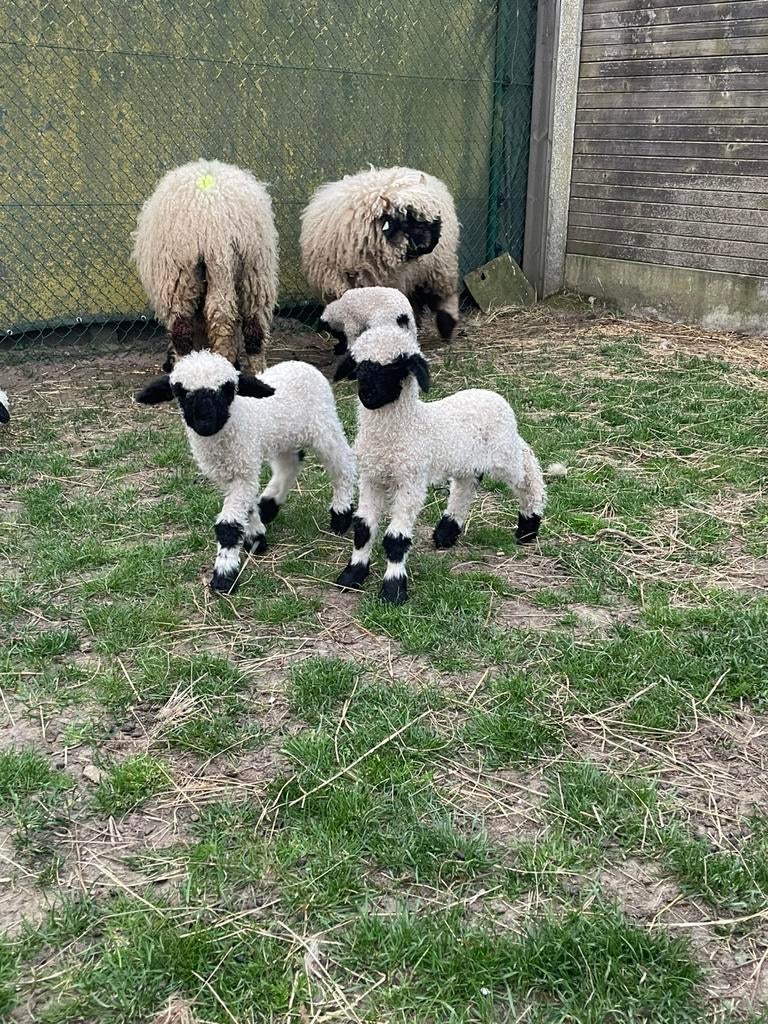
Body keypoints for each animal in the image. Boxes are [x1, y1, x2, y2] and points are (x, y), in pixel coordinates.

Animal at [132, 159, 278, 375]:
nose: (166, 365)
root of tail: (213, 221)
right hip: (252, 268)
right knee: (247, 323)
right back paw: (255, 370)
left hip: (179, 275)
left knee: (182, 330)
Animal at [135, 350, 356, 595]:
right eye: (180, 392)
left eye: (228, 388)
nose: (205, 422)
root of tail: (301, 364)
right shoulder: (230, 475)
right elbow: (246, 508)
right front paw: (256, 535)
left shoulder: (244, 470)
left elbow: (228, 526)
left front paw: (224, 575)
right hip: (284, 436)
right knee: (290, 464)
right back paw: (269, 505)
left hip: (324, 426)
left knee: (343, 464)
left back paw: (341, 514)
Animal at [300, 165, 460, 342]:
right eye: (405, 221)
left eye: (432, 222)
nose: (429, 245)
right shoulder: (336, 287)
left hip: (439, 266)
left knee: (444, 295)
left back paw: (446, 327)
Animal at [329, 288, 546, 604]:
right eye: (359, 366)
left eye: (396, 367)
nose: (367, 394)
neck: (404, 429)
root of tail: (491, 394)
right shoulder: (372, 477)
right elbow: (363, 530)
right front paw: (352, 575)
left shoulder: (410, 480)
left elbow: (395, 539)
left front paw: (393, 590)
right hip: (468, 459)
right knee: (467, 485)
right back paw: (447, 531)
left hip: (504, 452)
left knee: (528, 470)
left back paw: (529, 525)